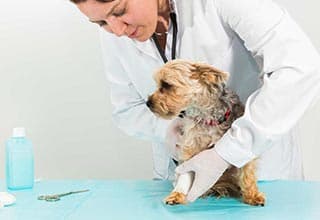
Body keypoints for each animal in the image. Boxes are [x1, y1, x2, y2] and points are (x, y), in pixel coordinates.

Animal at [147, 59, 264, 206]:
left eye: (166, 85)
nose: (147, 103)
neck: (208, 117)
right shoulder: (190, 146)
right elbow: (186, 173)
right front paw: (177, 195)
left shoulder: (241, 144)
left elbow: (247, 173)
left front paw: (253, 195)